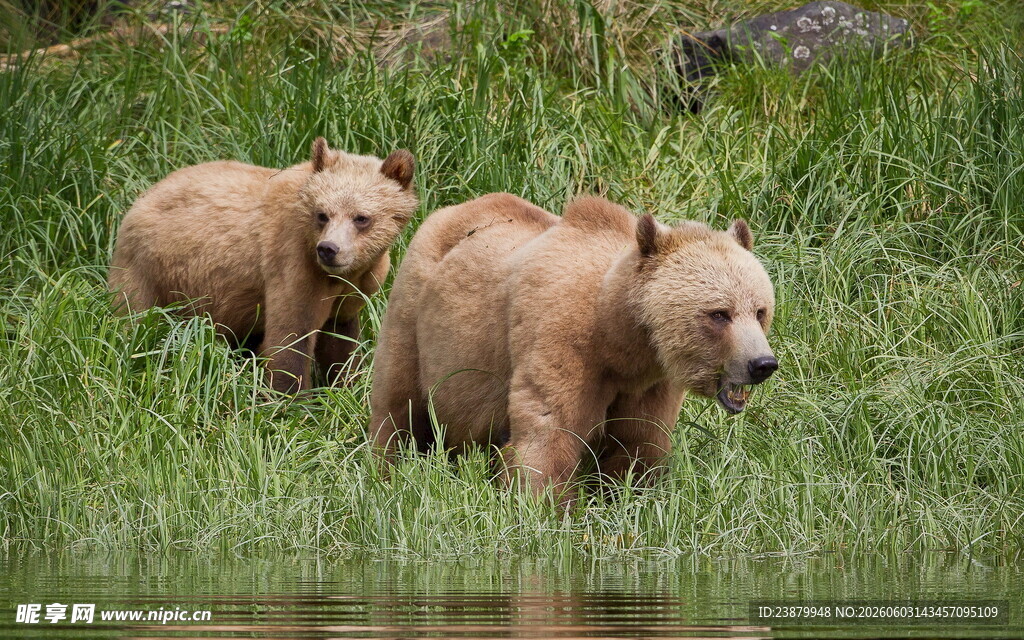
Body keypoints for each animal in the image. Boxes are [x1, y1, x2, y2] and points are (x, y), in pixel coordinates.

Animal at [108, 137, 417, 393]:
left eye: (361, 218)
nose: (329, 249)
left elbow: (340, 339)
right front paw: (292, 402)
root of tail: (142, 196)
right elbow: (290, 335)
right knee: (134, 318)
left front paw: (346, 384)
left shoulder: (354, 288)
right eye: (322, 214)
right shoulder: (293, 261)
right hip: (149, 270)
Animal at [369, 193, 777, 500]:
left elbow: (639, 441)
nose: (762, 363)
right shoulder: (563, 338)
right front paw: (548, 507)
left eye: (759, 310)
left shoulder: (650, 382)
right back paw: (387, 472)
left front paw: (626, 497)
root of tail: (454, 208)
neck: (621, 339)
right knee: (398, 401)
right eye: (719, 314)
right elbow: (551, 432)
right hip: (418, 311)